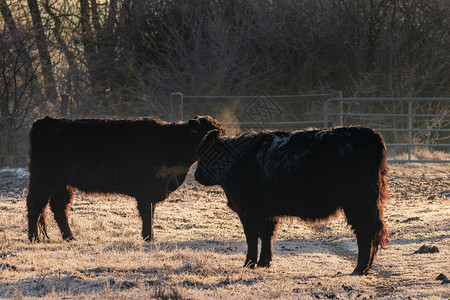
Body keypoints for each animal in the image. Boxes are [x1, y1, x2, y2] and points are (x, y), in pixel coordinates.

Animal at [26, 114, 223, 241]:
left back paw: (69, 237)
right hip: (43, 178)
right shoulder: (146, 191)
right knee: (35, 205)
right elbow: (147, 214)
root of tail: (45, 121)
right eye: (209, 133)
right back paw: (34, 238)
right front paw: (149, 237)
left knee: (59, 208)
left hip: (63, 184)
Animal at [195, 125, 388, 276]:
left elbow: (252, 237)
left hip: (358, 204)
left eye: (204, 155)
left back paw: (359, 269)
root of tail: (370, 134)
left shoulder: (247, 211)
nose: (196, 175)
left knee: (365, 232)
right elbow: (267, 236)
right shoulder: (267, 213)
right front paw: (264, 262)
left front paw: (248, 264)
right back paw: (365, 268)